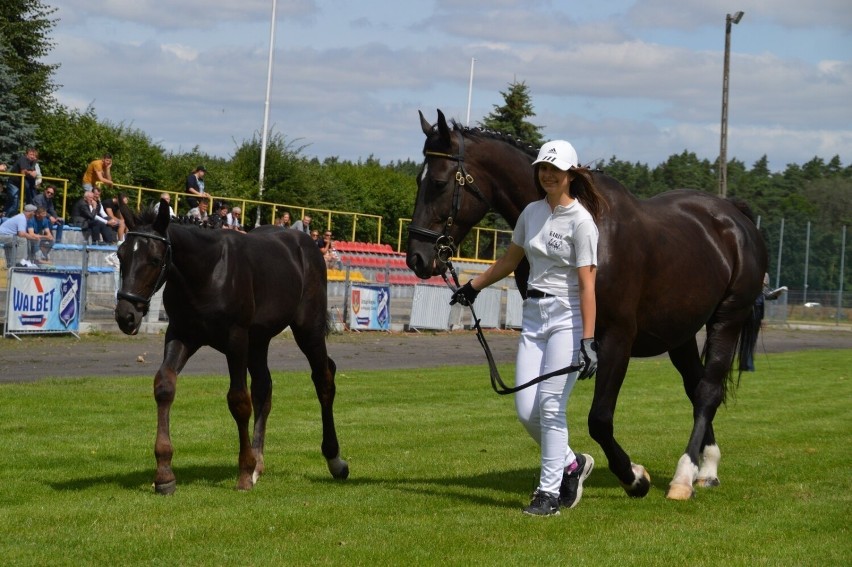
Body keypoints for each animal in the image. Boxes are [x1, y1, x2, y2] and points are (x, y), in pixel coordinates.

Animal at [115, 202, 348, 494]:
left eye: (155, 260)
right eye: (120, 255)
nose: (126, 316)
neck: (207, 272)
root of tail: (306, 244)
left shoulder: (236, 339)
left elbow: (238, 400)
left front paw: (244, 472)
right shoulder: (181, 334)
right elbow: (165, 386)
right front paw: (164, 474)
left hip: (308, 330)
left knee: (323, 379)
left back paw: (334, 460)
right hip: (259, 340)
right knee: (264, 388)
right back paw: (259, 463)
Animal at [410, 111, 768, 502]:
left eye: (439, 183)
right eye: (418, 179)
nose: (417, 257)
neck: (594, 227)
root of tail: (734, 216)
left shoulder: (615, 339)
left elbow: (598, 419)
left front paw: (634, 477)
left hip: (727, 319)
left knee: (707, 391)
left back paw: (685, 476)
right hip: (680, 334)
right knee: (695, 384)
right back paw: (706, 467)